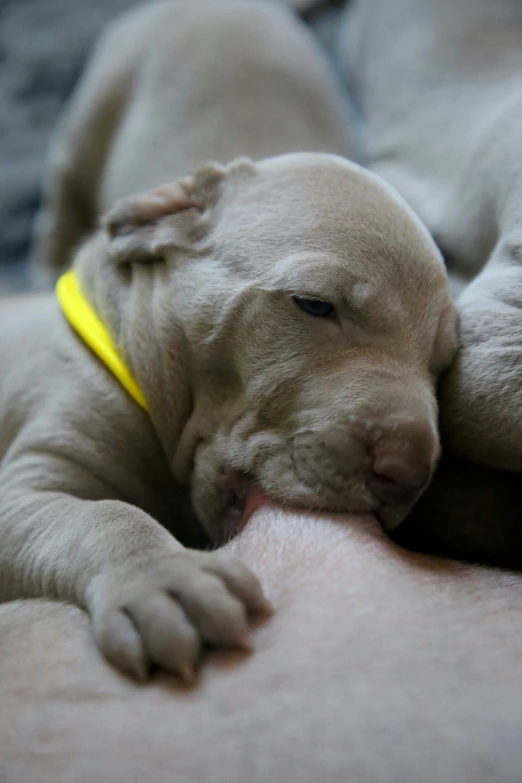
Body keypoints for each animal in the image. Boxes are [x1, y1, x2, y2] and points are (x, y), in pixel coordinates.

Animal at [0, 0, 452, 680]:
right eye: (314, 304)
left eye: (441, 363)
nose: (406, 473)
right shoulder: (35, 473)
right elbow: (101, 514)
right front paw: (164, 578)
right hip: (91, 117)